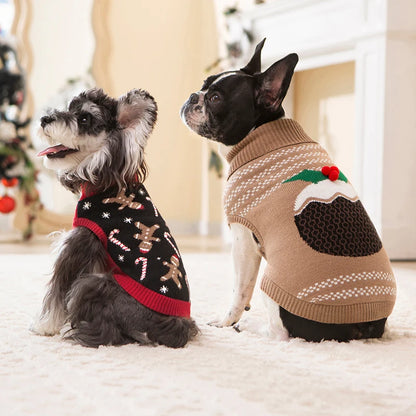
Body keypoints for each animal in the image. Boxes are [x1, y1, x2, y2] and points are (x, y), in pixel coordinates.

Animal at [31, 88, 197, 348]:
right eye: (69, 107)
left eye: (85, 118)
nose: (45, 119)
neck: (102, 178)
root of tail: (170, 331)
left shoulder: (80, 242)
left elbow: (57, 290)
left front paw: (45, 326)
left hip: (94, 283)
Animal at [180, 39, 394, 342]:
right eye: (204, 85)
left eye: (215, 99)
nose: (192, 96)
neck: (259, 132)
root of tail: (365, 325)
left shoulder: (243, 240)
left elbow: (239, 289)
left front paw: (225, 321)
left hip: (273, 279)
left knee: (280, 332)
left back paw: (249, 325)